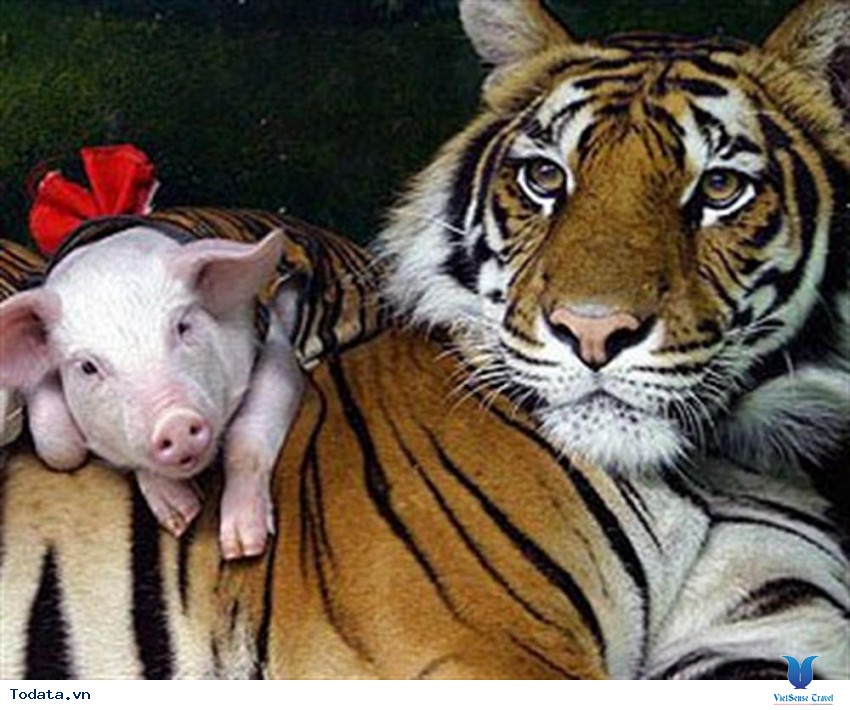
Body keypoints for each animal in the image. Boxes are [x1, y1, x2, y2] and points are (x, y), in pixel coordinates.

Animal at [1, 0, 848, 680]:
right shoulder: (456, 648)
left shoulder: (772, 632)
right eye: (546, 178)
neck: (710, 474)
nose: (592, 332)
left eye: (720, 189)